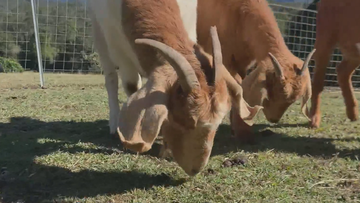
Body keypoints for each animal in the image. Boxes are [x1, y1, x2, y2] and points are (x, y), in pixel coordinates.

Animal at [87, 0, 262, 176]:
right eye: (182, 120)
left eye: (218, 124)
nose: (195, 169)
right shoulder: (118, 48)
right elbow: (131, 85)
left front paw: (165, 149)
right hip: (99, 33)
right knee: (110, 77)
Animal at [197, 0, 316, 143]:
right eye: (273, 91)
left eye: (294, 100)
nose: (273, 119)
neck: (239, 14)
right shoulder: (224, 58)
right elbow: (236, 85)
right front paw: (242, 132)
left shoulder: (245, 63)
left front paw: (237, 128)